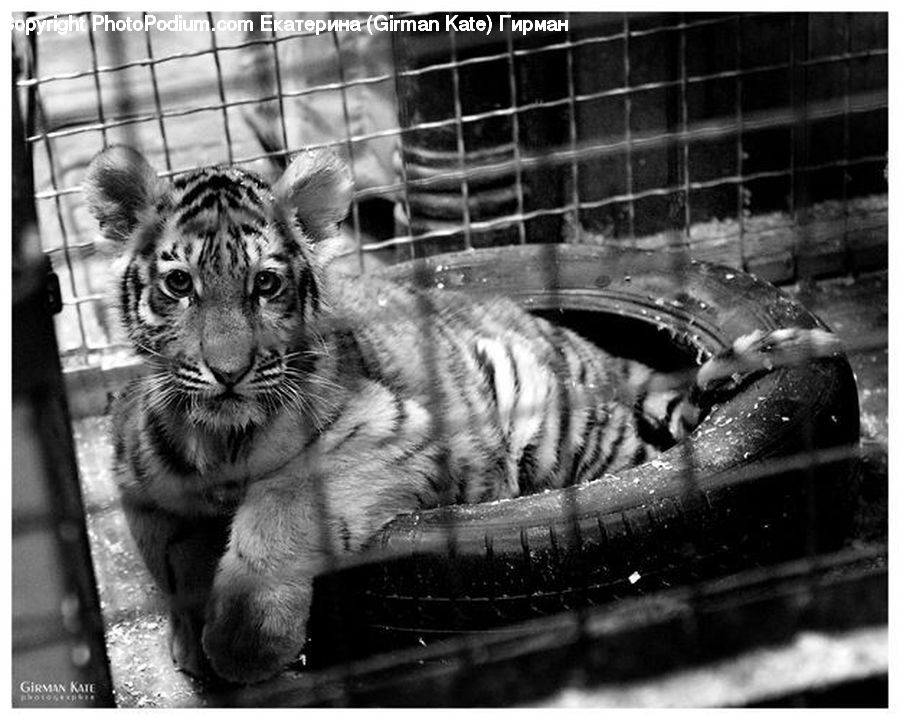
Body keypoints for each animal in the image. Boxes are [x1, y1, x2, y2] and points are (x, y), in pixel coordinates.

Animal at [83, 145, 841, 684]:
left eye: (265, 284)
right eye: (178, 284)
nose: (229, 370)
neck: (218, 437)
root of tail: (590, 349)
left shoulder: (392, 430)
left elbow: (282, 504)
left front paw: (244, 643)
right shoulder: (134, 474)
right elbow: (169, 559)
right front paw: (190, 639)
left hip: (559, 430)